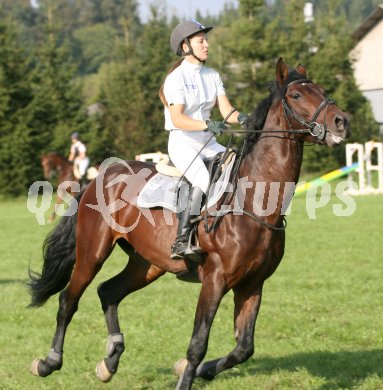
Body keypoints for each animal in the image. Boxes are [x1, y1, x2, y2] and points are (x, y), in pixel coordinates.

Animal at [27, 58, 352, 390]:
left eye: (321, 89)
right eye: (297, 96)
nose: (342, 121)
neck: (254, 203)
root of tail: (100, 177)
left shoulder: (253, 283)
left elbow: (244, 347)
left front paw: (200, 370)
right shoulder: (215, 280)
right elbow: (198, 343)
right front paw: (187, 374)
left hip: (147, 264)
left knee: (108, 292)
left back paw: (109, 362)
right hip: (92, 253)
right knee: (68, 299)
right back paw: (49, 362)